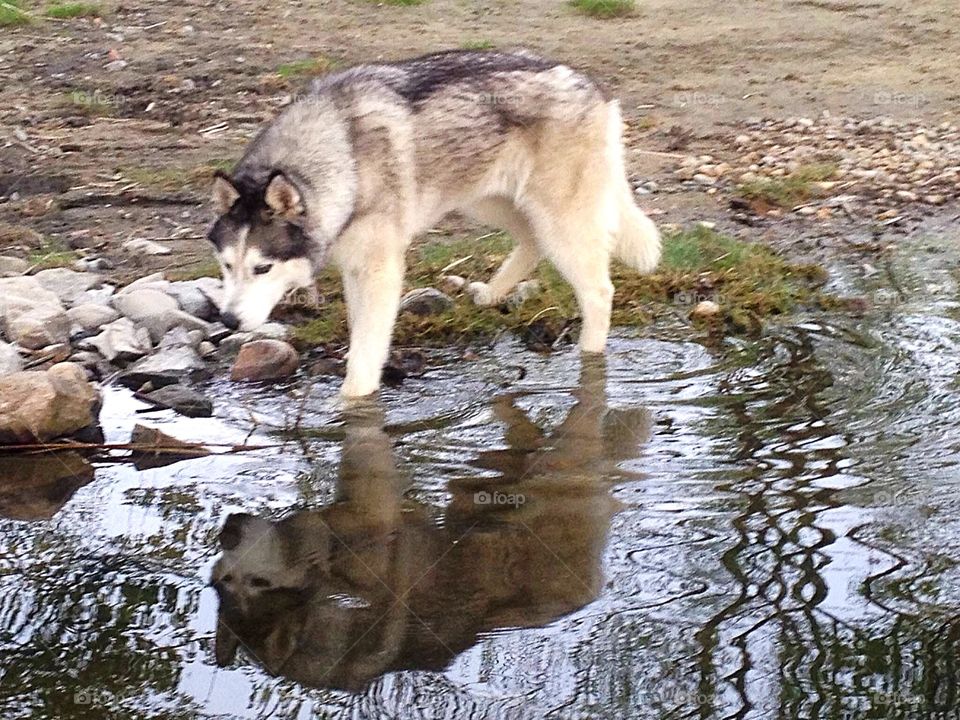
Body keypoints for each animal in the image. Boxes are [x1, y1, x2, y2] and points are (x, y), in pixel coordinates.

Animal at [209, 49, 660, 400]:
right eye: (227, 266)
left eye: (262, 268)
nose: (227, 322)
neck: (342, 155)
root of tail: (593, 87)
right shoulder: (355, 266)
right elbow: (361, 336)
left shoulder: (379, 270)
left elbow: (366, 353)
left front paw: (351, 403)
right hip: (487, 203)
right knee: (531, 242)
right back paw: (491, 294)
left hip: (558, 222)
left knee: (598, 292)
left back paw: (590, 356)